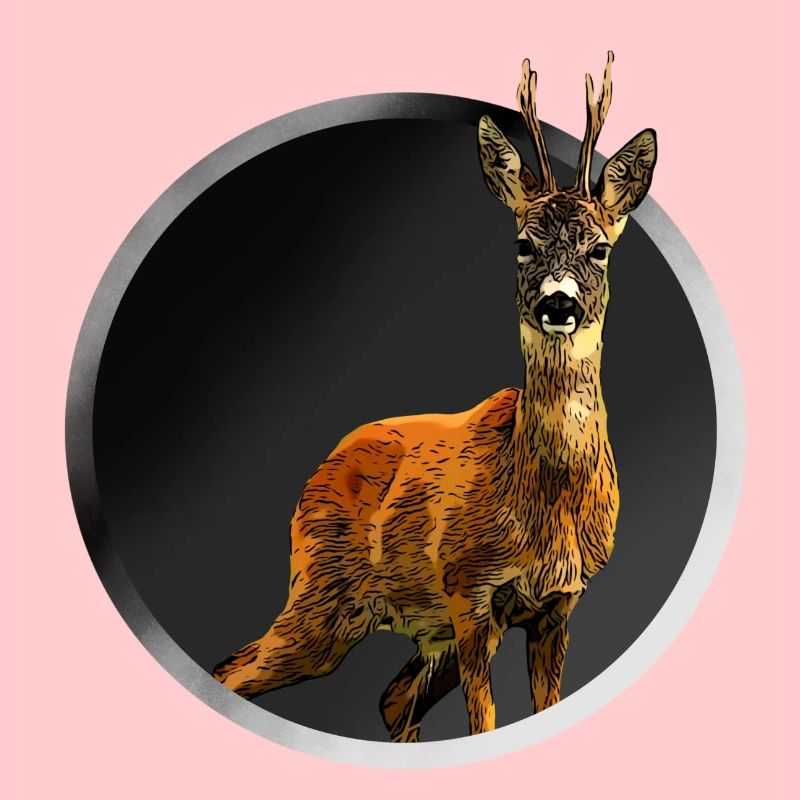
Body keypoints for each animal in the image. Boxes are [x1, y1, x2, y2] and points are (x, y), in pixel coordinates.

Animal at [212, 52, 657, 740]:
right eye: (522, 243)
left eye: (600, 248)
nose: (558, 304)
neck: (541, 503)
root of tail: (321, 467)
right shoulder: (468, 589)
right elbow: (486, 723)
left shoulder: (558, 605)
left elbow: (543, 706)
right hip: (321, 595)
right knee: (235, 670)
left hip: (408, 624)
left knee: (391, 698)